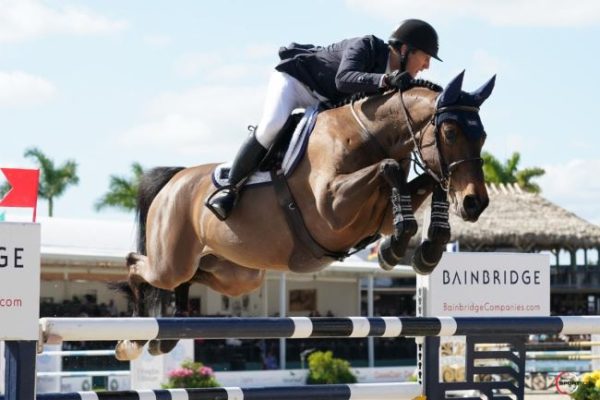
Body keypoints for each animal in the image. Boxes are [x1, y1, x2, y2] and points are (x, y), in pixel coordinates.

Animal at [115, 70, 494, 360]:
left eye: (483, 136)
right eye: (450, 132)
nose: (475, 203)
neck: (367, 134)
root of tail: (175, 178)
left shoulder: (382, 214)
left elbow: (425, 182)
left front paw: (425, 249)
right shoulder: (330, 210)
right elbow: (389, 169)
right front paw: (398, 247)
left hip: (236, 274)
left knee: (192, 276)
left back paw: (167, 336)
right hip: (171, 260)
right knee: (137, 265)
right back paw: (133, 339)